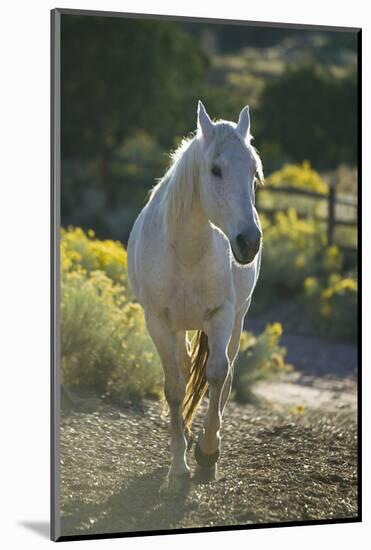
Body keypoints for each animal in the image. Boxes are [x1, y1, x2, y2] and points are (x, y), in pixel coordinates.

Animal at [128, 103, 264, 496]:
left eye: (254, 172)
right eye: (215, 170)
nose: (249, 242)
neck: (186, 252)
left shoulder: (221, 315)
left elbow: (217, 374)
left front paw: (206, 454)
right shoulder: (158, 322)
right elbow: (175, 387)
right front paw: (178, 467)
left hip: (237, 318)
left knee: (226, 375)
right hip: (178, 328)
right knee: (186, 368)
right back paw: (185, 435)